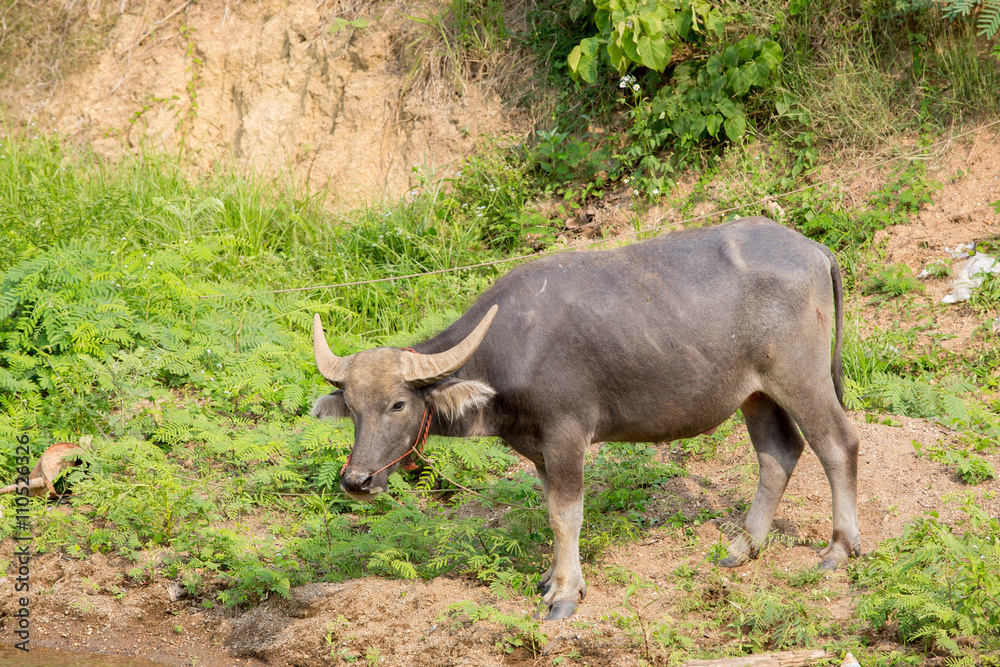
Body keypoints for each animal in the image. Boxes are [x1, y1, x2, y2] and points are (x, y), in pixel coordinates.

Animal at [310, 218, 860, 620]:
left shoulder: (567, 434)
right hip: (756, 393)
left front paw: (565, 594)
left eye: (398, 404)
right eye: (352, 409)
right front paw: (551, 578)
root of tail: (813, 248)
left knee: (837, 444)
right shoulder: (538, 450)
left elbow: (566, 514)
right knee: (778, 453)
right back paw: (744, 546)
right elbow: (551, 510)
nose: (357, 481)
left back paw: (839, 548)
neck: (509, 349)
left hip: (801, 377)